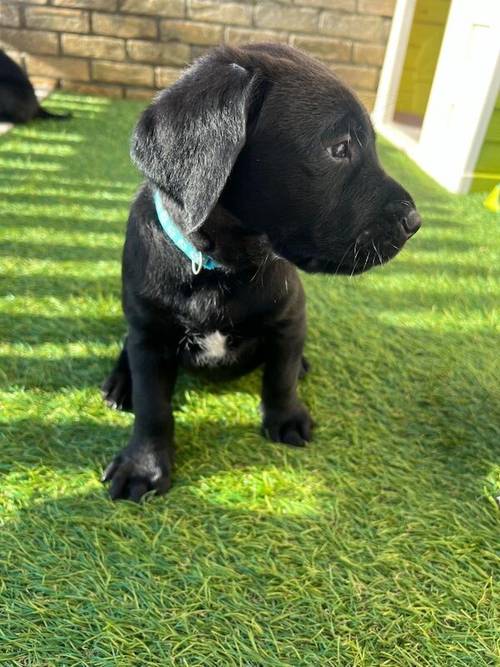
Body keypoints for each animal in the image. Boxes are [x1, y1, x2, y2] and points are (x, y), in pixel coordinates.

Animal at [102, 43, 422, 500]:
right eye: (339, 148)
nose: (415, 222)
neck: (221, 268)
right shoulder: (149, 335)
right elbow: (152, 406)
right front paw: (143, 465)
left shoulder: (290, 319)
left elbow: (281, 376)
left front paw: (286, 417)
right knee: (125, 346)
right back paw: (119, 383)